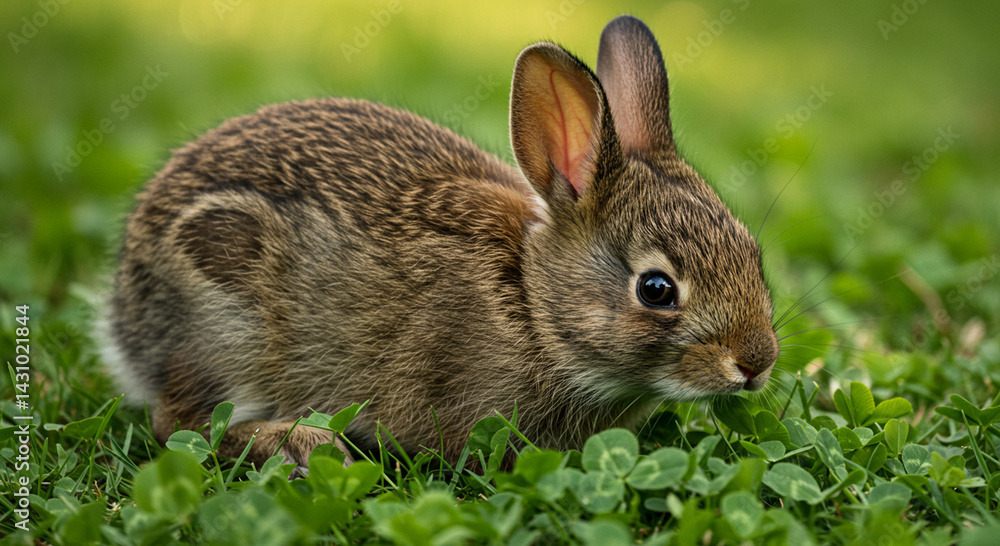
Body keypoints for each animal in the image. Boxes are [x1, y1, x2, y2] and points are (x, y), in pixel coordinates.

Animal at [106, 15, 778, 470]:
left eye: (754, 253)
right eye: (656, 289)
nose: (757, 363)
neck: (533, 306)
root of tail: (122, 313)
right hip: (227, 316)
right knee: (181, 424)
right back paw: (302, 443)